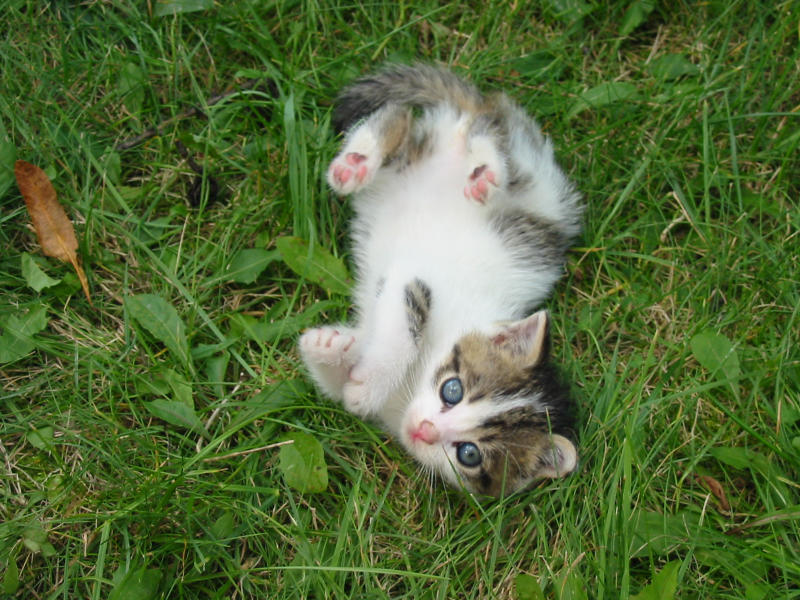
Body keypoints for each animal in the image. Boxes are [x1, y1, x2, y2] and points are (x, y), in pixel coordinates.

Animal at [300, 64, 580, 496]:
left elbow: (337, 383)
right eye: (453, 390)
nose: (426, 430)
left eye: (469, 454)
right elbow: (405, 330)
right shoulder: (412, 278)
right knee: (471, 131)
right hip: (530, 175)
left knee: (410, 132)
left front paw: (333, 349)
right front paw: (369, 383)